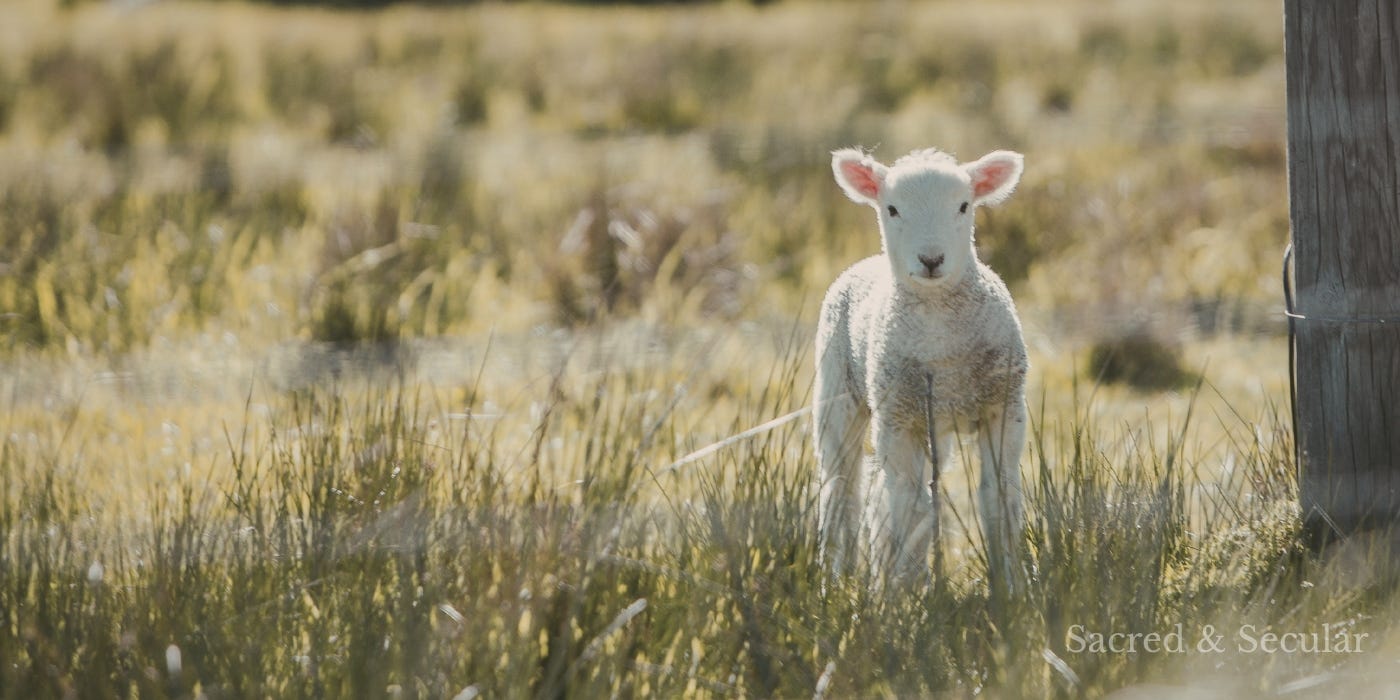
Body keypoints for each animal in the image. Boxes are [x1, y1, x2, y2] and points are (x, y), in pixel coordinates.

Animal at [815, 146, 1029, 590]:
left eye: (964, 206)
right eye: (892, 209)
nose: (931, 259)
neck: (939, 341)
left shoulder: (1004, 407)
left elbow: (999, 497)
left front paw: (1011, 587)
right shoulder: (898, 420)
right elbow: (910, 507)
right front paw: (908, 592)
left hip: (935, 427)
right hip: (837, 392)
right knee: (842, 487)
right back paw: (838, 577)